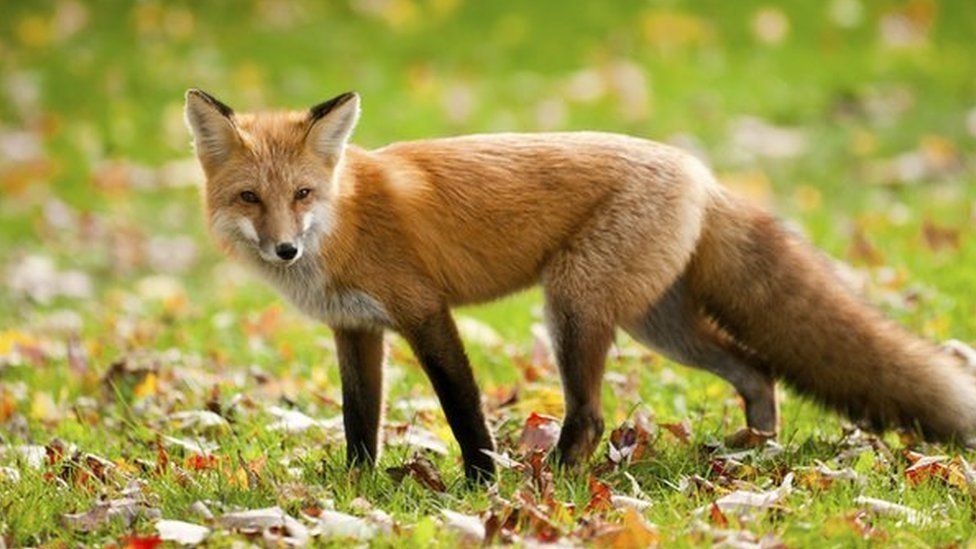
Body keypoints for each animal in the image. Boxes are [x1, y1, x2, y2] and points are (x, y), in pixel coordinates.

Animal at [185, 89, 976, 480]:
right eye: (252, 198)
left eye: (304, 194)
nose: (286, 248)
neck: (346, 219)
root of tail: (699, 171)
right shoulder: (355, 329)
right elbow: (359, 422)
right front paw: (356, 490)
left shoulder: (425, 312)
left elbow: (463, 411)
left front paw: (481, 486)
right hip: (659, 325)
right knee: (756, 368)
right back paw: (753, 451)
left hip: (573, 305)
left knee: (592, 414)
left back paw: (556, 484)